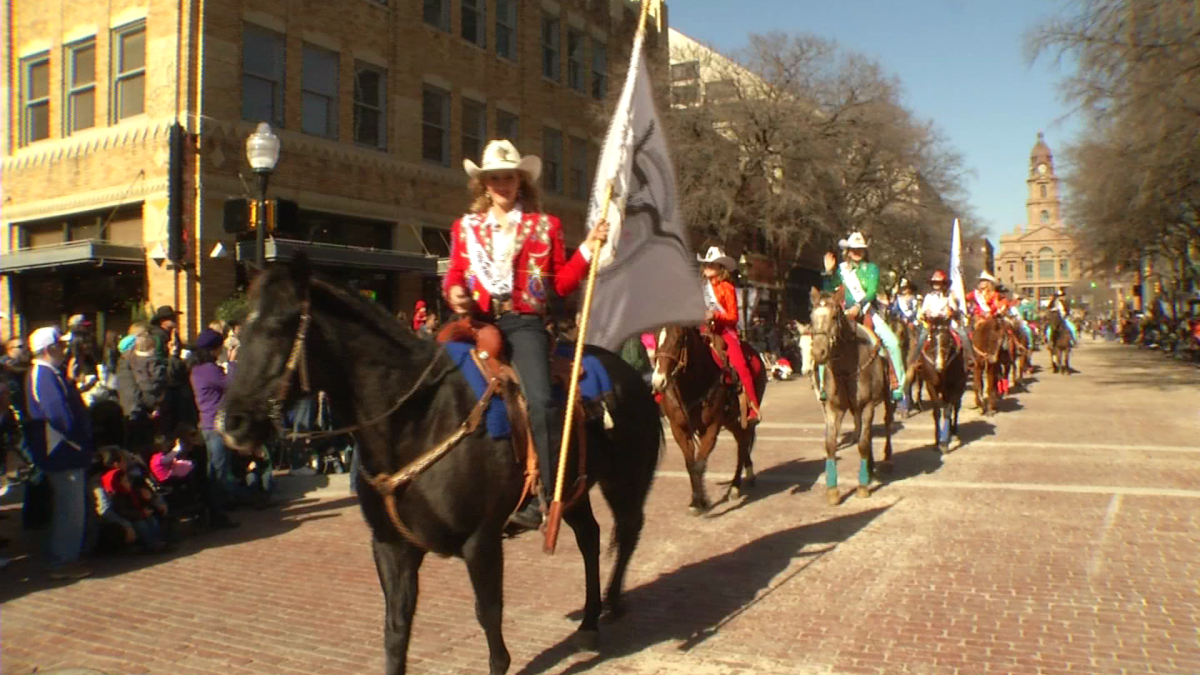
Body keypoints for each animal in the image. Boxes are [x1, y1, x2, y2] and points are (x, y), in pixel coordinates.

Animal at [220, 260, 662, 672]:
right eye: (243, 327)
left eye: (279, 325)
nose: (233, 423)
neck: (417, 419)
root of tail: (632, 375)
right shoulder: (392, 546)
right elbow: (396, 633)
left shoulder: (481, 542)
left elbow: (490, 620)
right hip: (572, 489)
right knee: (590, 536)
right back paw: (588, 620)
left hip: (624, 481)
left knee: (627, 531)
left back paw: (612, 601)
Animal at [652, 324, 763, 509]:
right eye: (655, 340)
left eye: (678, 340)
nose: (658, 381)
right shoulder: (679, 429)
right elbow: (691, 464)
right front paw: (695, 500)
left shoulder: (711, 428)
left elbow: (699, 464)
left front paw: (700, 502)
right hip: (732, 421)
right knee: (742, 442)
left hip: (743, 418)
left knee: (743, 444)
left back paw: (735, 486)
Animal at [806, 284, 892, 504]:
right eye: (811, 317)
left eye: (834, 316)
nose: (818, 353)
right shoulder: (833, 408)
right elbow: (831, 445)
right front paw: (832, 491)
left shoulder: (868, 405)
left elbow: (862, 443)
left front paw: (862, 487)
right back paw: (870, 467)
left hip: (887, 398)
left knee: (886, 424)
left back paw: (887, 459)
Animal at [912, 314, 969, 451]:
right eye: (932, 338)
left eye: (948, 339)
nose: (938, 366)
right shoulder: (931, 385)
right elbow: (937, 411)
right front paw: (937, 441)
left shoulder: (954, 385)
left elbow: (948, 411)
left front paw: (944, 443)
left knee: (956, 406)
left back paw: (953, 431)